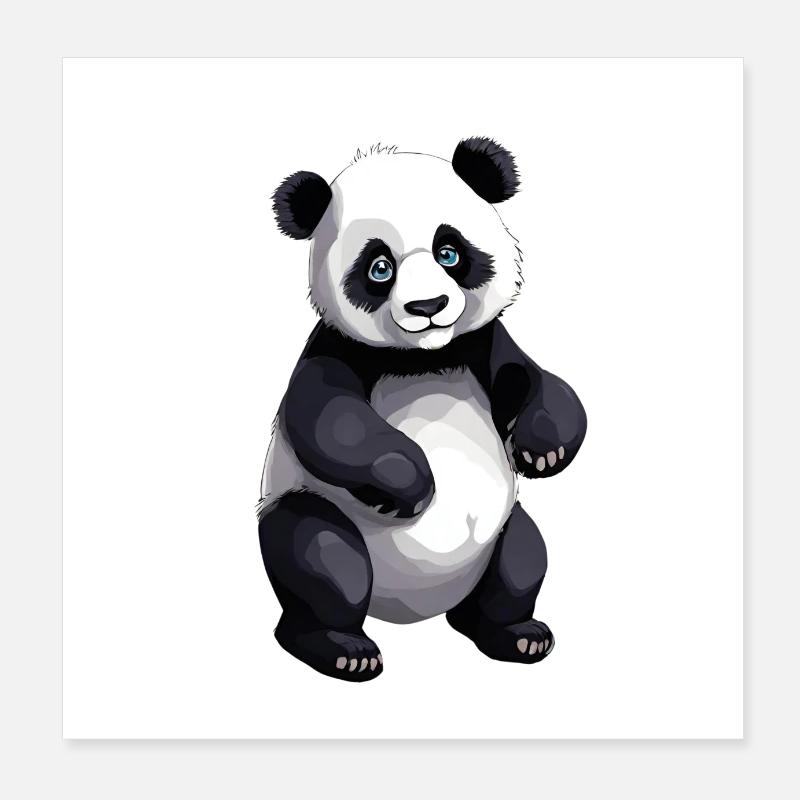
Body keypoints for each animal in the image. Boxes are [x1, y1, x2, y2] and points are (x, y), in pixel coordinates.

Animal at [258, 137, 587, 681]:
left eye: (449, 252)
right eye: (379, 268)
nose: (427, 307)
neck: (424, 358)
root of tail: (412, 609)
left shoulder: (484, 345)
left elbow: (540, 383)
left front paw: (543, 453)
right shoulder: (336, 348)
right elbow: (327, 419)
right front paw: (408, 486)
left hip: (499, 537)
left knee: (521, 558)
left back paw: (515, 635)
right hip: (312, 512)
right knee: (321, 557)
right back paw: (342, 648)